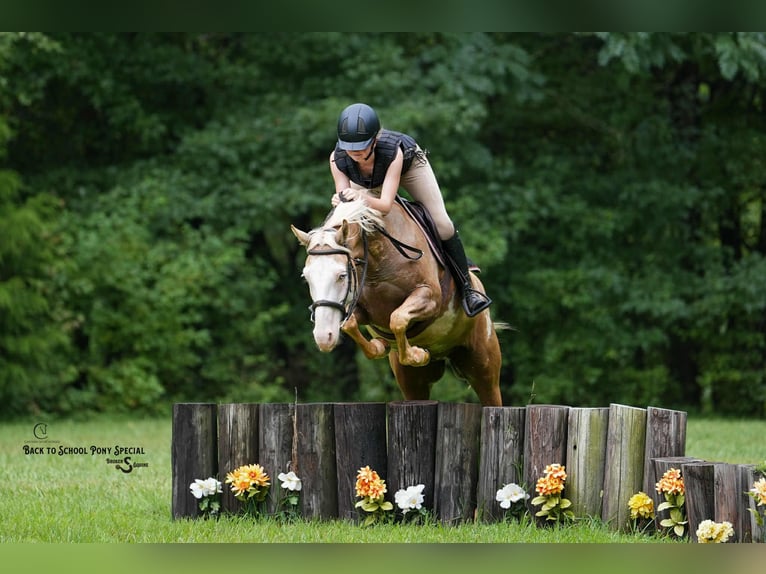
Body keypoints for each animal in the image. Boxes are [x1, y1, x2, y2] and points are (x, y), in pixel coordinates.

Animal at [291, 197, 503, 406]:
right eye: (306, 277)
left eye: (342, 275)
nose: (323, 337)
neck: (377, 261)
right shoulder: (363, 311)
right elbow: (351, 324)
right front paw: (380, 346)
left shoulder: (430, 298)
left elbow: (397, 318)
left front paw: (418, 355)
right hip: (412, 383)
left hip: (483, 366)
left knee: (490, 395)